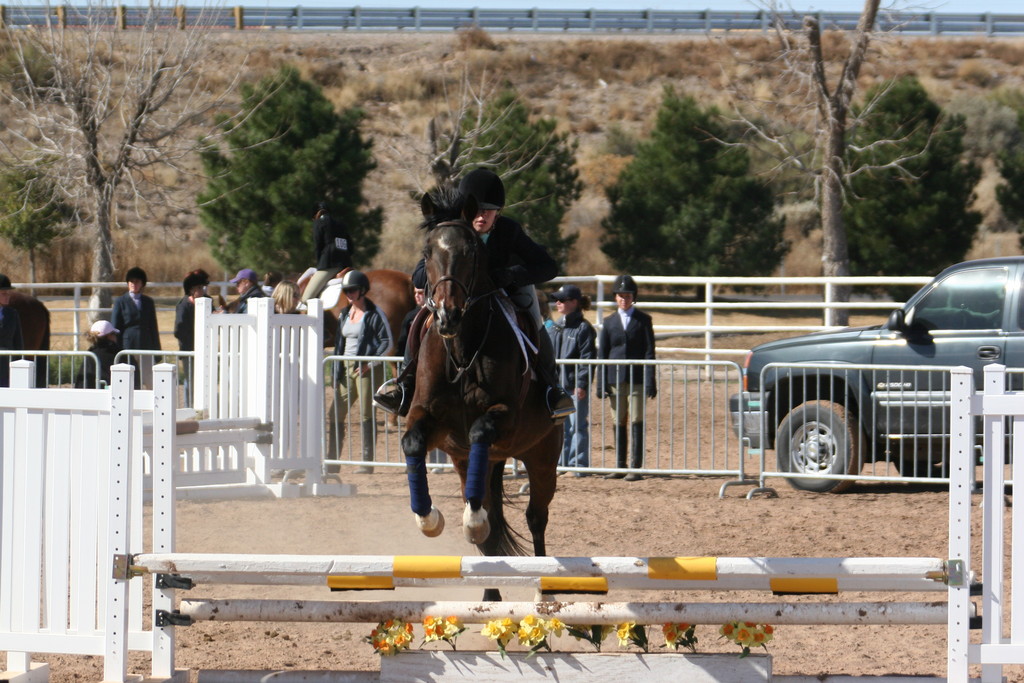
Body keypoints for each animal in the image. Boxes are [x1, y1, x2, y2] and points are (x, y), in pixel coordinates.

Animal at [397, 184, 561, 602]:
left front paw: (471, 521)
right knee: (489, 518)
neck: (462, 349)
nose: (446, 316)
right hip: (465, 460)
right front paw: (430, 519)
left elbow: (480, 430)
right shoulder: (430, 419)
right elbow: (412, 442)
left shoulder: (505, 416)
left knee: (536, 516)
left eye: (471, 252)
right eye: (427, 252)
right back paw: (490, 596)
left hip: (542, 453)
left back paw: (545, 593)